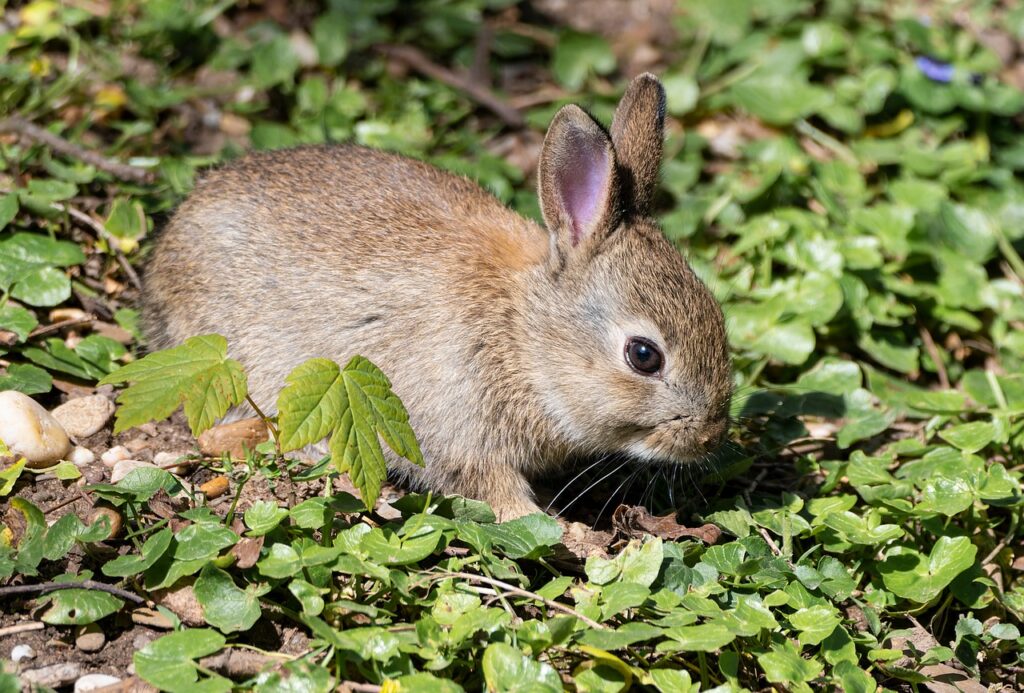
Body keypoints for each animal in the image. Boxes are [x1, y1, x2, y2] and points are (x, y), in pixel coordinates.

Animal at [142, 73, 732, 521]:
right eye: (643, 355)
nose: (709, 437)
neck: (522, 338)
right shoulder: (457, 432)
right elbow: (491, 488)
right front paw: (553, 530)